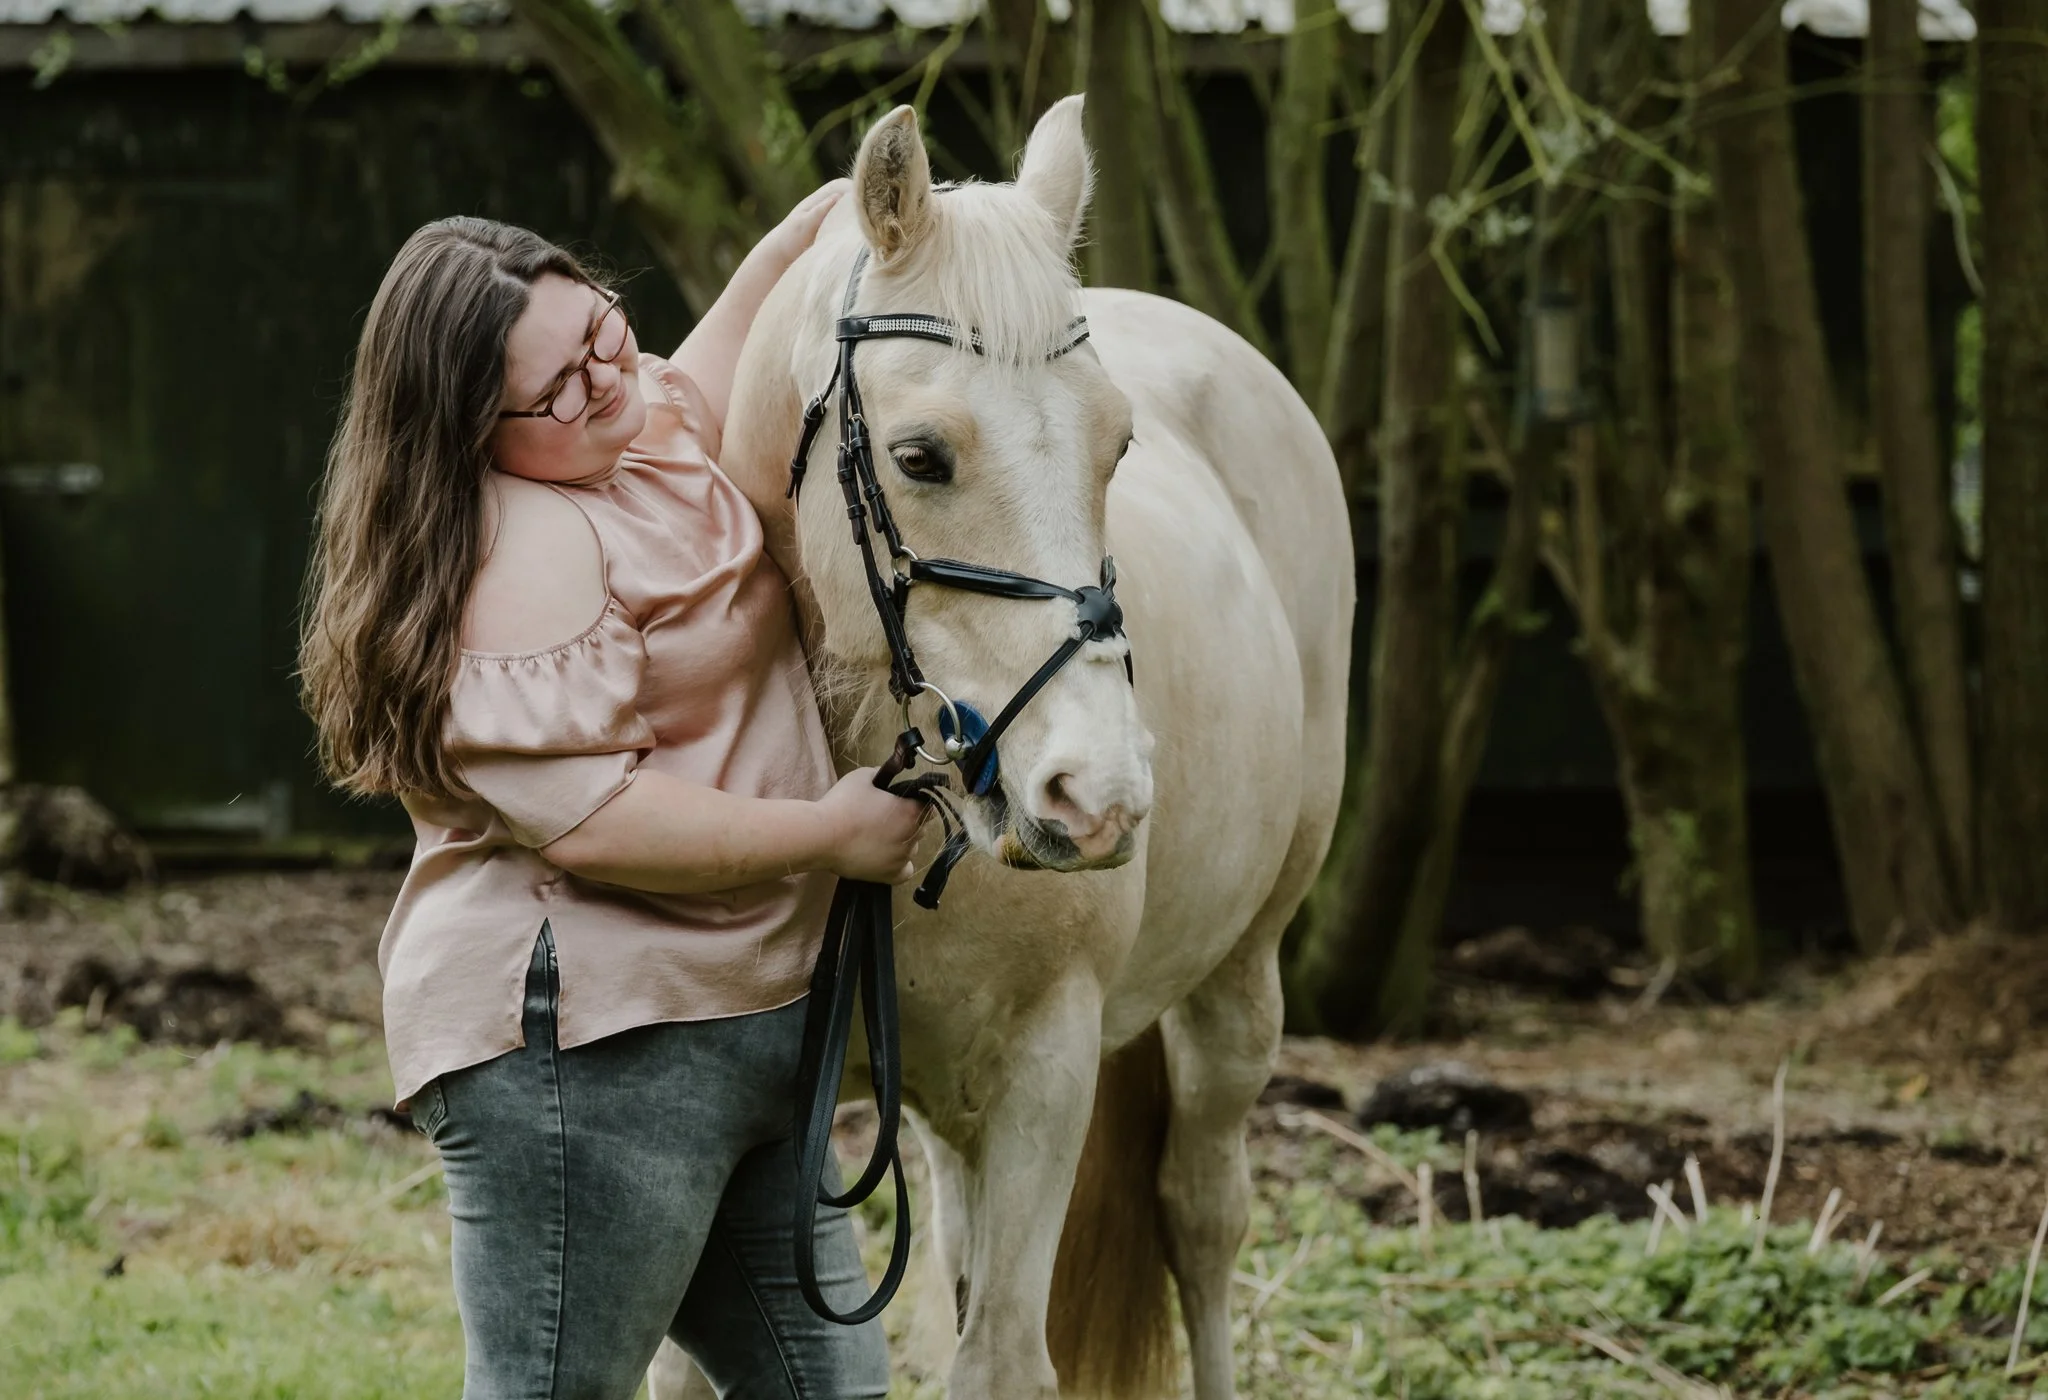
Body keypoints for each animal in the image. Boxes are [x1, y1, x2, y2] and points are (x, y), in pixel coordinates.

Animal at [650, 96, 1352, 1399]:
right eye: (920, 455)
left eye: (1119, 445)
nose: (1095, 795)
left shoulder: (1043, 1073)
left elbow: (1005, 1355)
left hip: (1235, 986)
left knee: (1201, 1217)